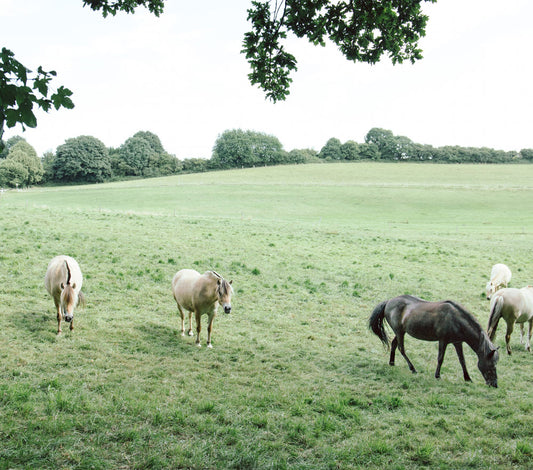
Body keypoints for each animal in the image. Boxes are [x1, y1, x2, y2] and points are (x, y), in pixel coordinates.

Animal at [370, 296, 498, 388]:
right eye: (491, 365)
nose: (494, 385)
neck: (456, 319)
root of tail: (388, 301)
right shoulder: (443, 341)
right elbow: (440, 358)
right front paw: (437, 376)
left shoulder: (457, 342)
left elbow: (462, 360)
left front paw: (467, 378)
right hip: (399, 332)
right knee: (401, 349)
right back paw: (412, 368)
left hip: (400, 332)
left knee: (394, 344)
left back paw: (392, 363)